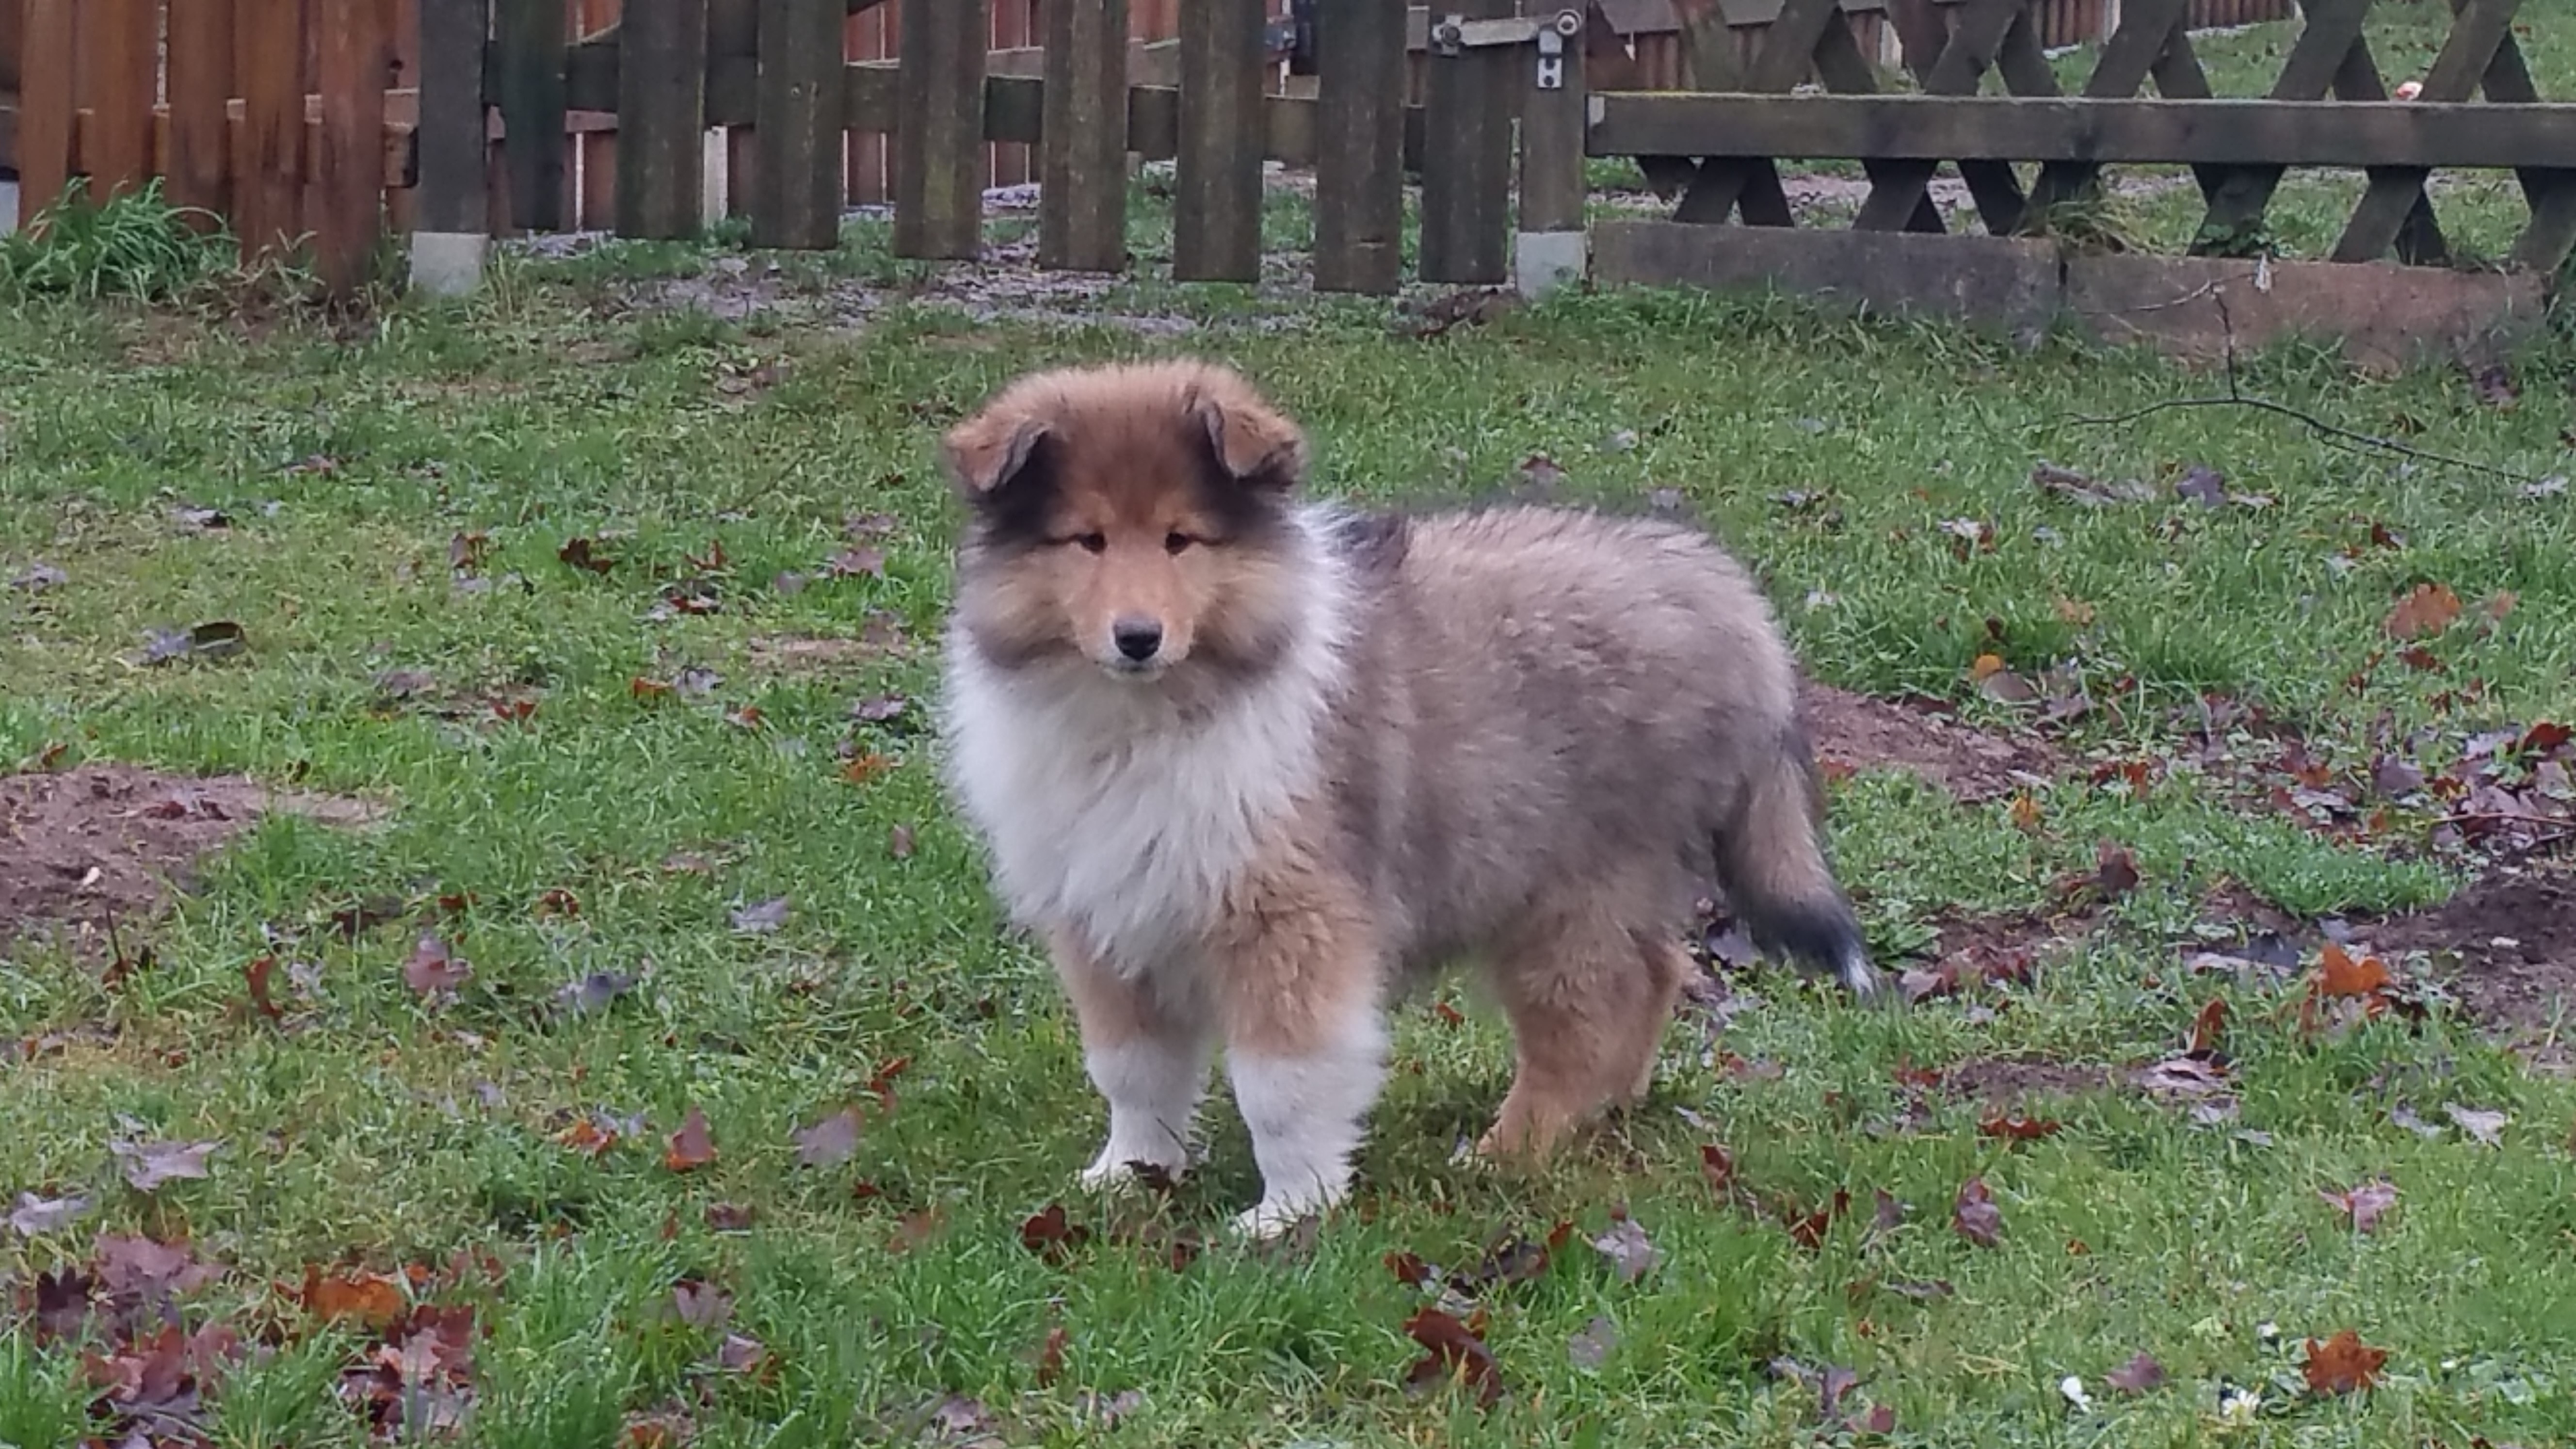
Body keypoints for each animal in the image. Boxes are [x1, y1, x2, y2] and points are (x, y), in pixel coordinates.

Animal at [937, 358, 1885, 1227]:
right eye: (1086, 540)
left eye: (1182, 540)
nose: (1137, 638)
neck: (1153, 714)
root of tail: (1725, 595)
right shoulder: (1107, 920)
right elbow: (1133, 1069)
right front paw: (1128, 1176)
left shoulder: (1291, 920)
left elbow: (1280, 1083)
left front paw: (1287, 1212)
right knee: (1658, 972)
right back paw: (1613, 1106)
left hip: (1570, 886)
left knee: (1587, 1018)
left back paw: (1508, 1152)